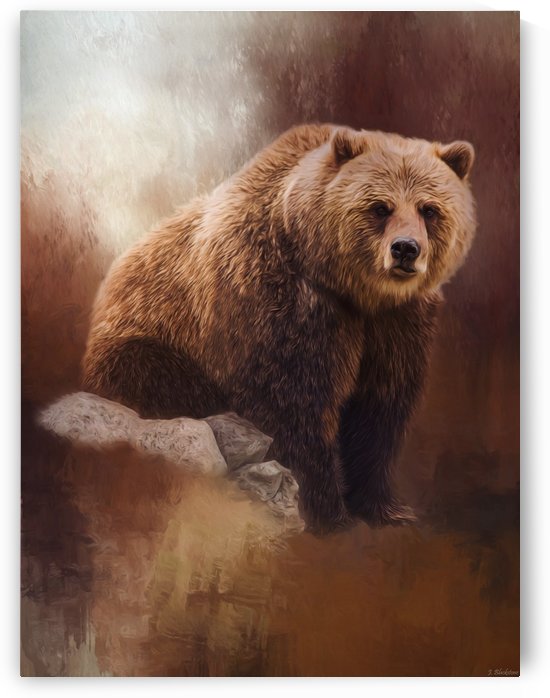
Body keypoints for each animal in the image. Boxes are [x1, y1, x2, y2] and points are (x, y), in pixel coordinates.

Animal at [82, 123, 476, 533]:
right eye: (380, 207)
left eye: (429, 209)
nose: (405, 249)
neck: (354, 291)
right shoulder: (281, 303)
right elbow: (293, 404)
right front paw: (327, 512)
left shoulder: (397, 323)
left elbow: (380, 407)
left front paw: (385, 508)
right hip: (145, 343)